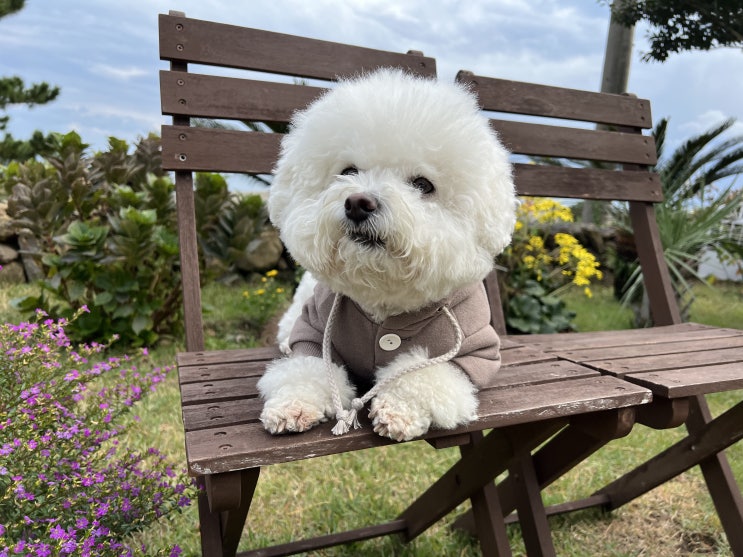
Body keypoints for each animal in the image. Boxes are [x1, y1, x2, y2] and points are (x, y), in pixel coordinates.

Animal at [260, 69, 516, 440]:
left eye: (423, 185)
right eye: (348, 171)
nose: (358, 203)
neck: (384, 298)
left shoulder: (472, 351)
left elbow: (424, 375)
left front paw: (399, 409)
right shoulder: (312, 329)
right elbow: (306, 369)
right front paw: (293, 403)